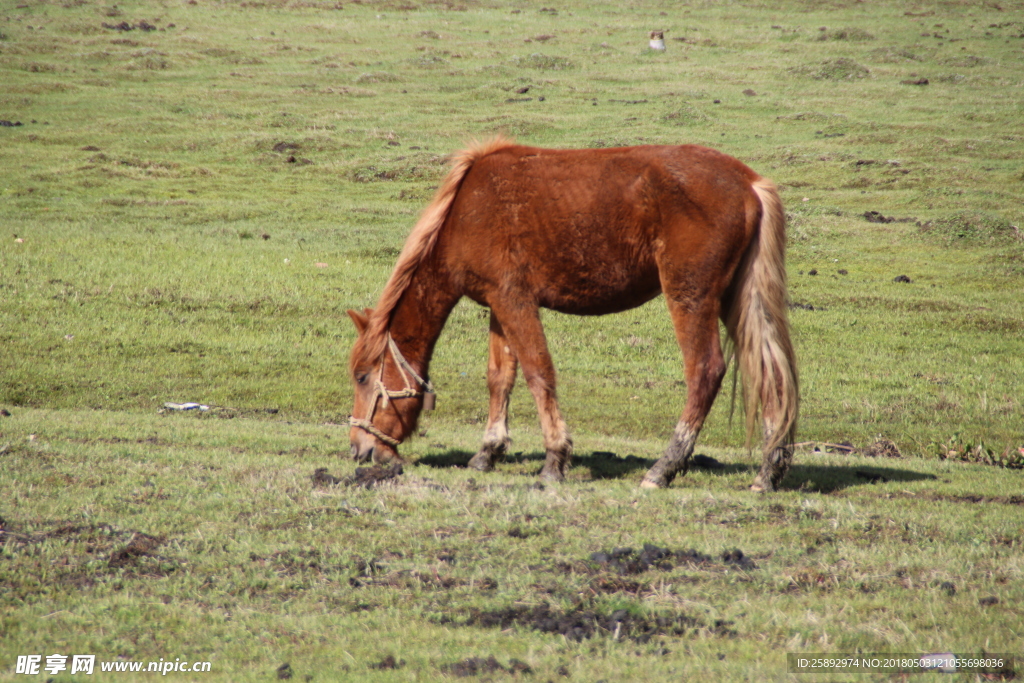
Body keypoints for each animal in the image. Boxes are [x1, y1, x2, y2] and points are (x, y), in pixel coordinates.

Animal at [348, 137, 794, 491]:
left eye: (362, 377)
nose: (359, 450)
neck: (465, 211)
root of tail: (750, 184)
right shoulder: (499, 305)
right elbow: (499, 378)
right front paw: (487, 453)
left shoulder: (515, 300)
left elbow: (538, 373)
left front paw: (555, 459)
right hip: (740, 301)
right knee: (772, 374)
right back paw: (767, 473)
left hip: (690, 298)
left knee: (705, 370)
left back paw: (663, 469)